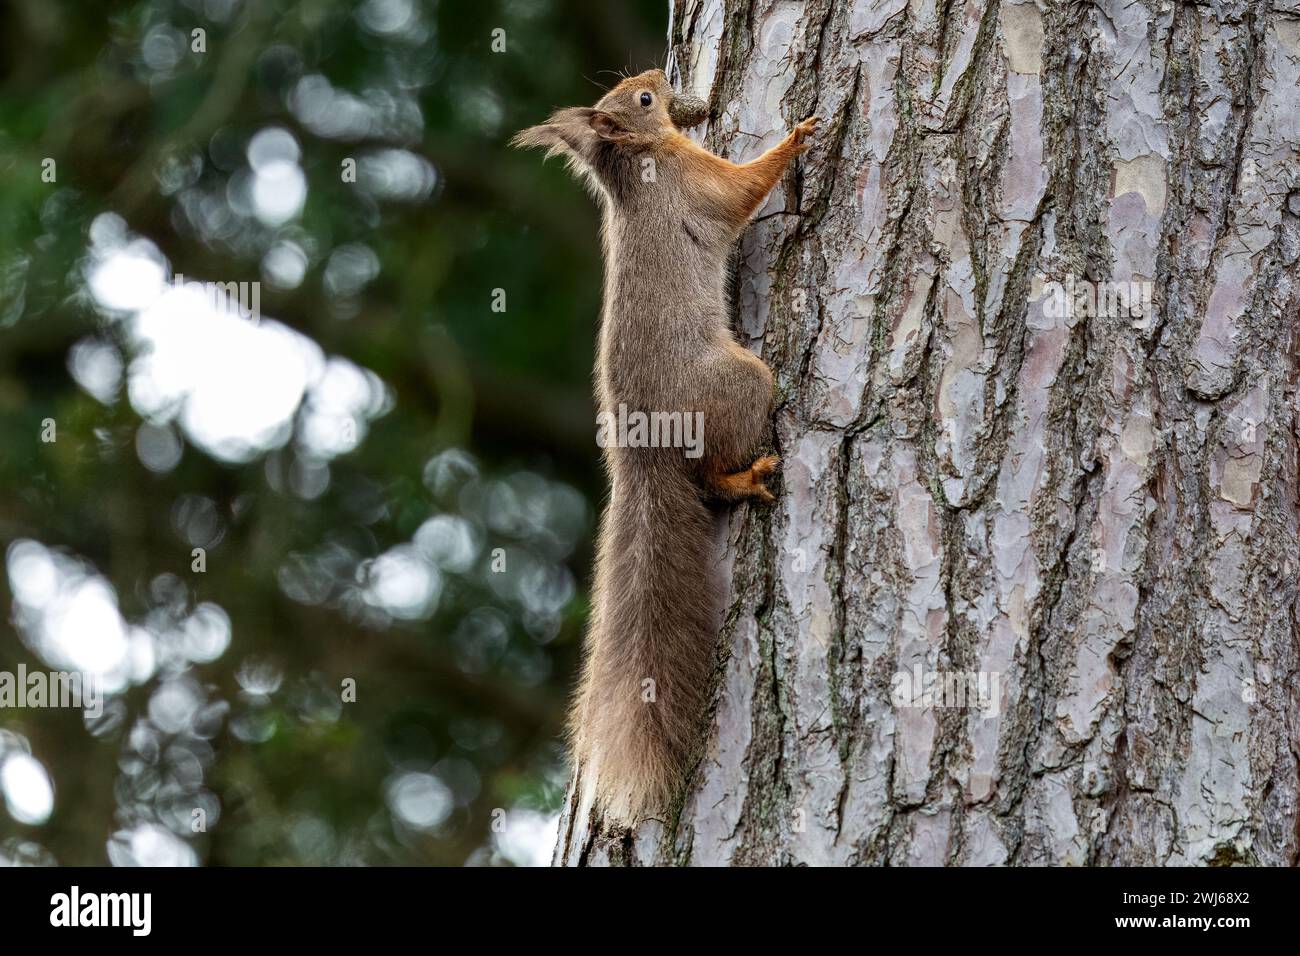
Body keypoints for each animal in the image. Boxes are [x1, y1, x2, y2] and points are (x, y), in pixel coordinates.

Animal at [513, 69, 818, 826]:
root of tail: (642, 456)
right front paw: (798, 137)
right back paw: (745, 479)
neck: (640, 167)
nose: (656, 75)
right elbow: (744, 189)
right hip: (742, 385)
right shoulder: (698, 183)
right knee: (710, 476)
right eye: (643, 102)